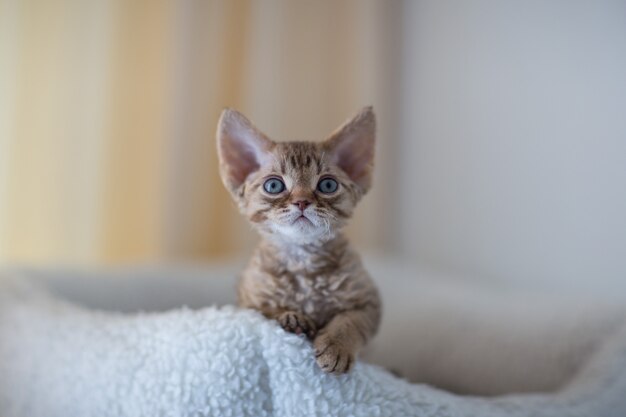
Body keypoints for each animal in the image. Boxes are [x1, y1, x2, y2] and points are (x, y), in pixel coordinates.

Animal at [217, 107, 378, 374]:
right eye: (274, 185)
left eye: (328, 185)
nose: (302, 201)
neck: (303, 260)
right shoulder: (247, 302)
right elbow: (265, 311)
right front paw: (292, 317)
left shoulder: (368, 302)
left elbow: (351, 321)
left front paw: (336, 345)